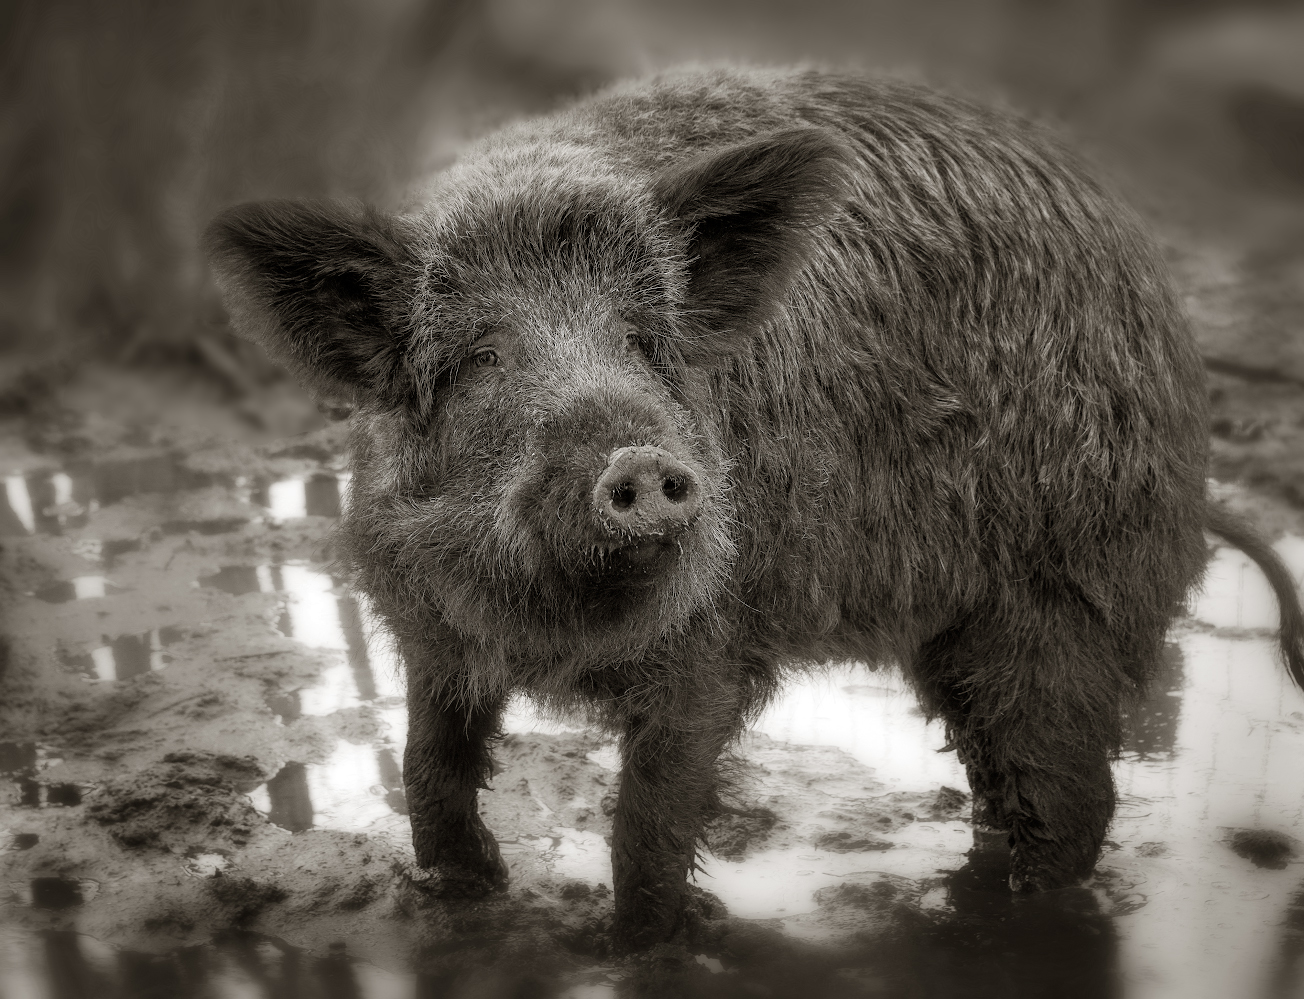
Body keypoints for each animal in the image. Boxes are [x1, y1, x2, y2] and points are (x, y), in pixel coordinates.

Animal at [203, 64, 1304, 954]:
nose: (640, 461)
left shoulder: (713, 641)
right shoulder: (428, 630)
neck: (553, 635)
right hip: (962, 632)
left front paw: (642, 948)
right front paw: (456, 900)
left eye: (643, 338)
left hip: (1059, 591)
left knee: (1074, 794)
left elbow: (647, 821)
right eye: (478, 357)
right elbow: (427, 769)